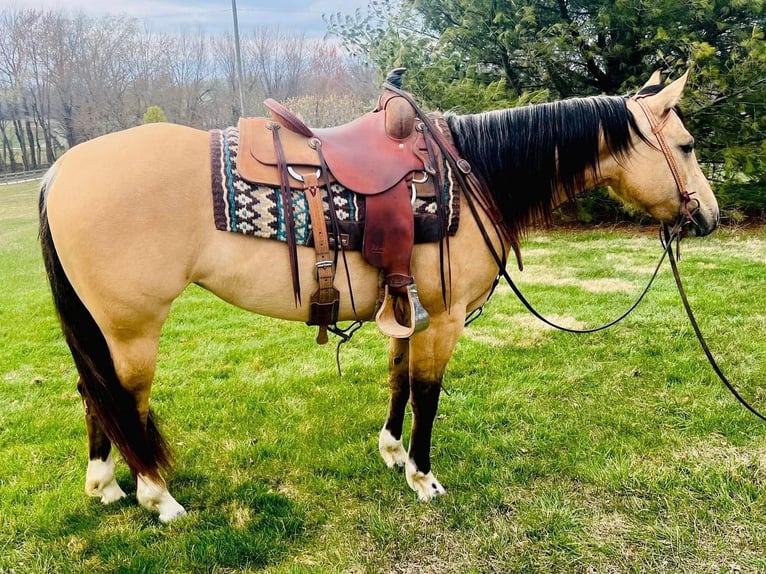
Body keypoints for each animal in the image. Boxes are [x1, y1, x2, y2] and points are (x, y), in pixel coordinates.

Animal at [36, 71, 720, 520]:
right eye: (687, 147)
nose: (709, 216)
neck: (473, 172)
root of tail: (60, 169)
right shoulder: (443, 318)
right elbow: (428, 394)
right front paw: (423, 477)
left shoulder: (405, 307)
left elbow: (397, 381)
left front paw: (391, 453)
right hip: (132, 328)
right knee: (122, 400)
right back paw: (158, 497)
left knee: (95, 395)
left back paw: (106, 486)